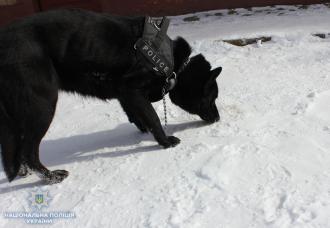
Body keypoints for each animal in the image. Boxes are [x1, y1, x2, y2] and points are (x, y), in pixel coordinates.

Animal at [0, 8, 222, 184]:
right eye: (211, 98)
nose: (218, 118)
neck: (174, 63)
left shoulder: (125, 95)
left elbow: (138, 117)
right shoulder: (132, 90)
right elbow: (153, 118)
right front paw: (165, 142)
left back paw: (24, 172)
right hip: (43, 105)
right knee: (28, 151)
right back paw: (51, 176)